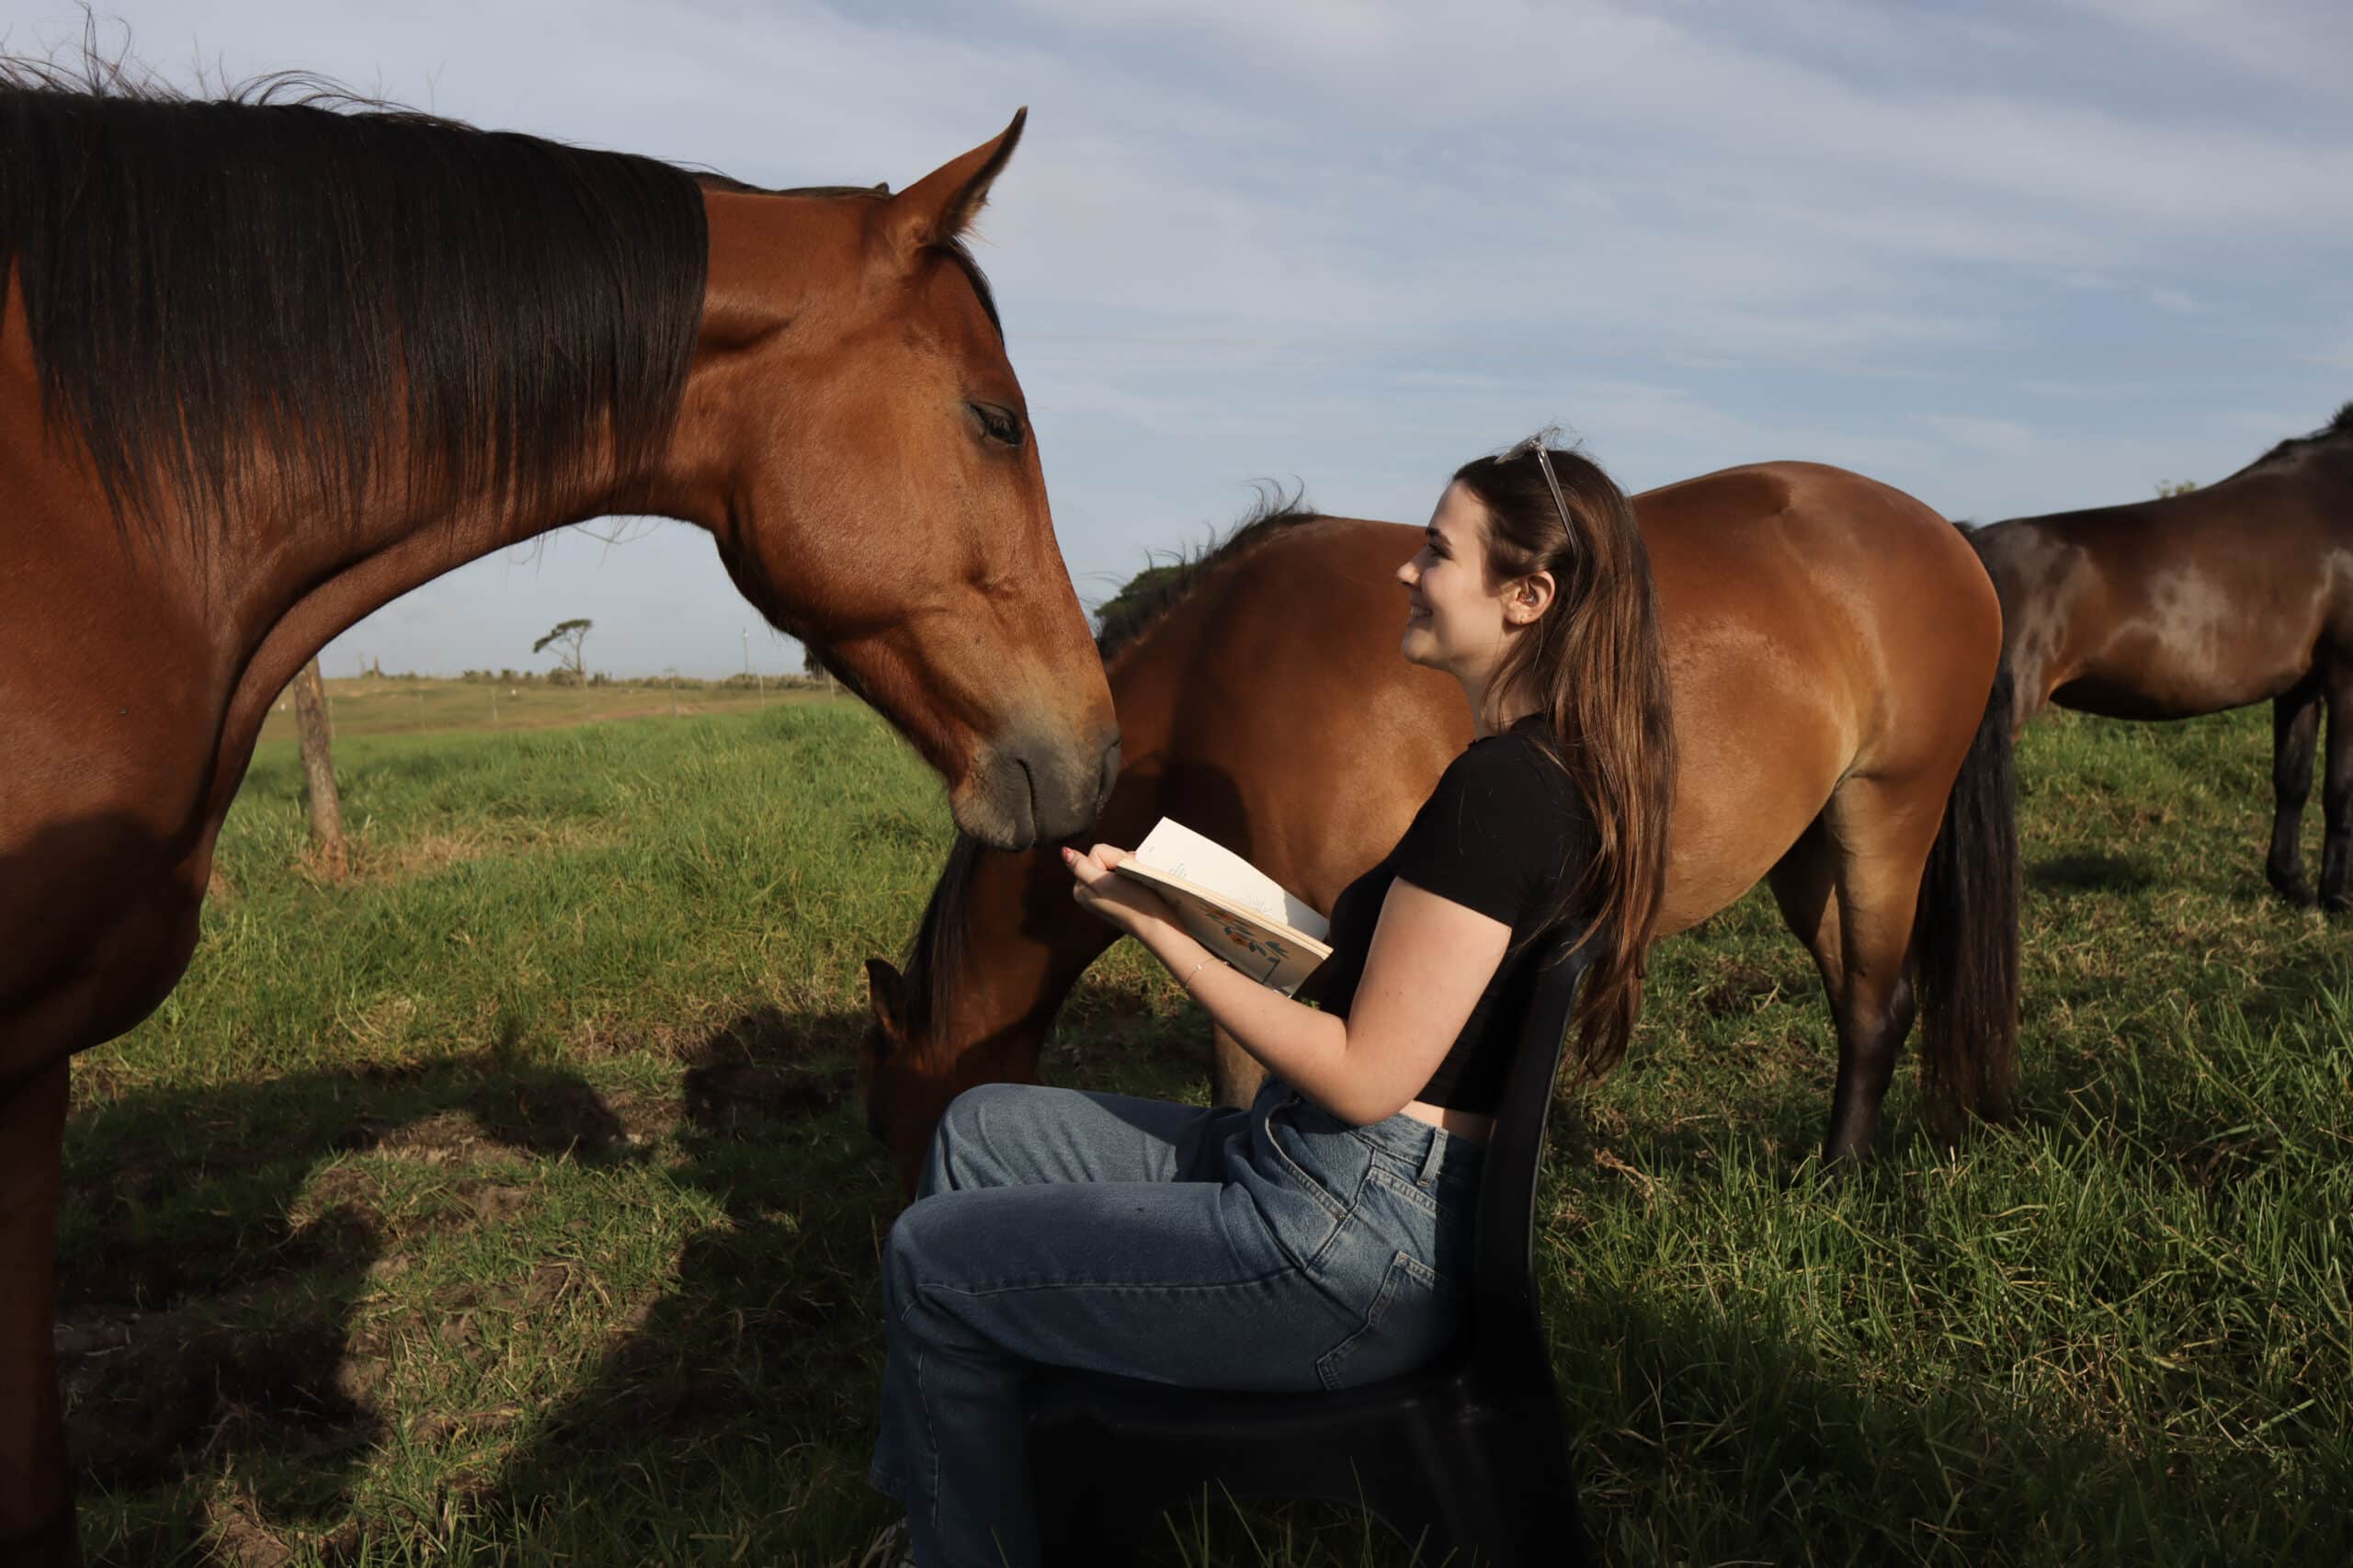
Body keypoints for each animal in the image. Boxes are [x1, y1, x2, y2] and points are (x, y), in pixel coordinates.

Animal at [1968, 403, 2353, 911]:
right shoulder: (2347, 676)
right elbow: (2340, 789)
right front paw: (2337, 898)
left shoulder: (2300, 686)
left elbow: (2293, 780)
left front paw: (2294, 885)